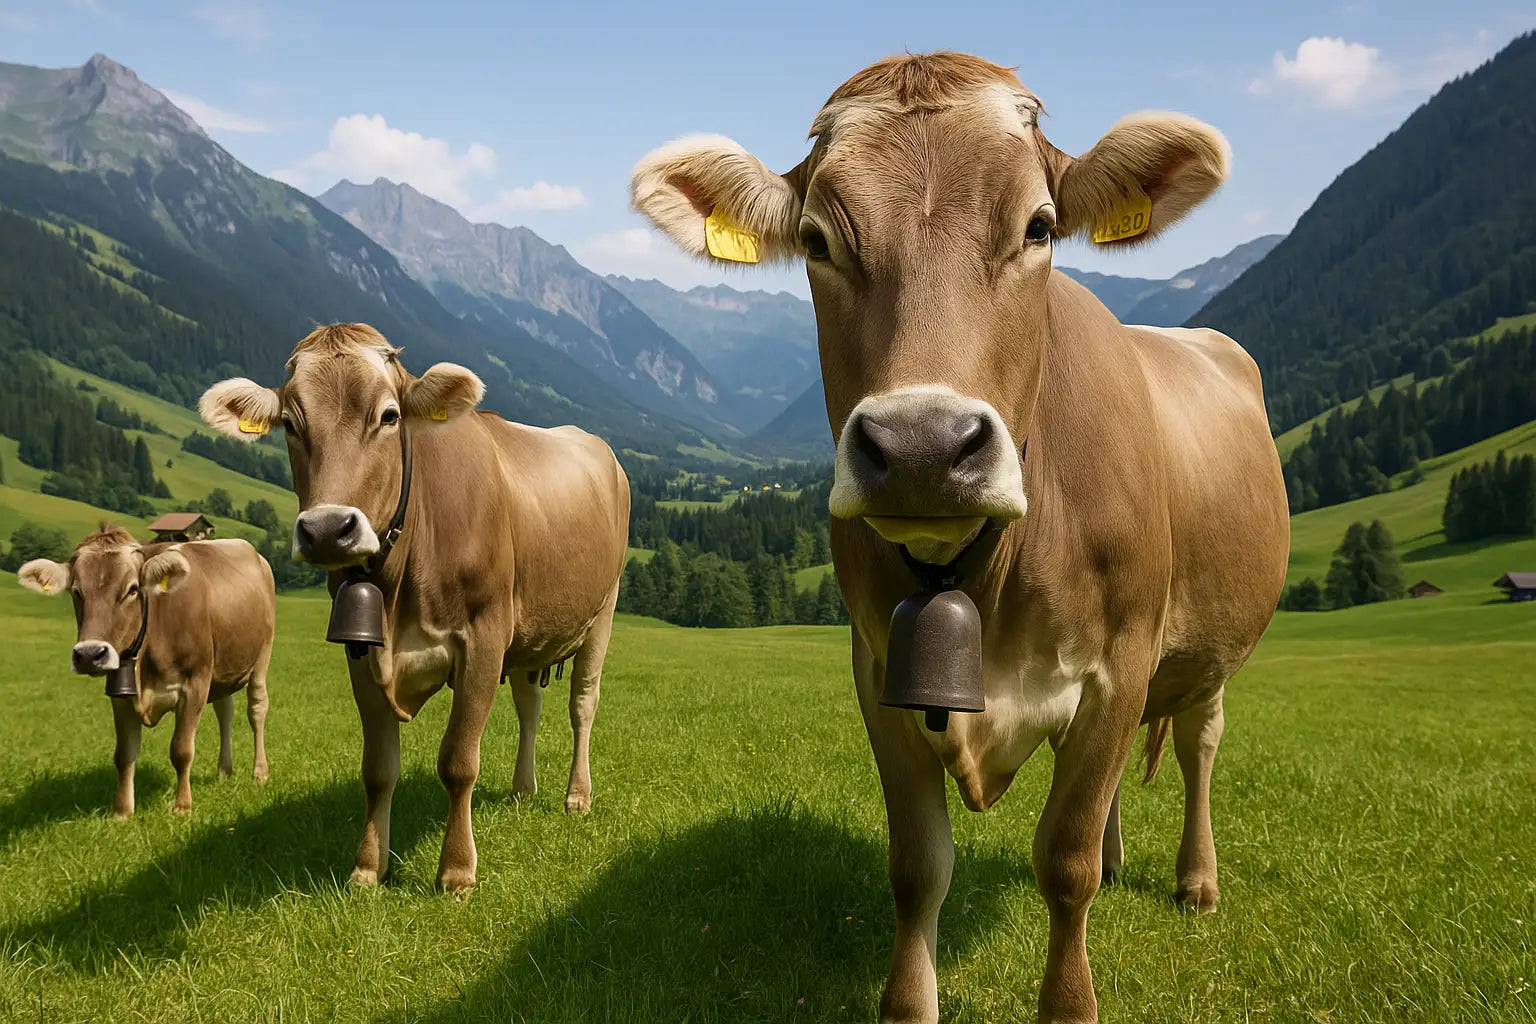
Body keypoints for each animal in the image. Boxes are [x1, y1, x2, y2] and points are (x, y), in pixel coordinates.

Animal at [18, 527, 274, 817]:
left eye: (132, 589)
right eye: (76, 591)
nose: (89, 654)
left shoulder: (195, 683)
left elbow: (181, 749)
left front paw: (183, 806)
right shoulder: (120, 694)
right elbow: (124, 754)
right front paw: (123, 812)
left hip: (263, 653)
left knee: (256, 709)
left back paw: (260, 772)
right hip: (222, 668)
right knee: (225, 710)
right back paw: (224, 770)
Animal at [196, 323, 631, 893]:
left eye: (388, 416)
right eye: (290, 423)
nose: (327, 530)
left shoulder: (484, 639)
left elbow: (459, 761)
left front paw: (457, 871)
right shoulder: (361, 651)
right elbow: (378, 767)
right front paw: (367, 866)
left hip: (603, 610)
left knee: (583, 703)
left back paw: (576, 795)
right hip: (532, 628)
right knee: (529, 704)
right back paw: (522, 787)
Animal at [630, 52, 1290, 1023]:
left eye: (1040, 226)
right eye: (819, 241)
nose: (922, 447)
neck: (984, 574)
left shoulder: (1120, 666)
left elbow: (1065, 863)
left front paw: (1071, 995)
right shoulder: (877, 672)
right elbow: (918, 869)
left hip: (1209, 648)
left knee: (1199, 743)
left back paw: (1195, 881)